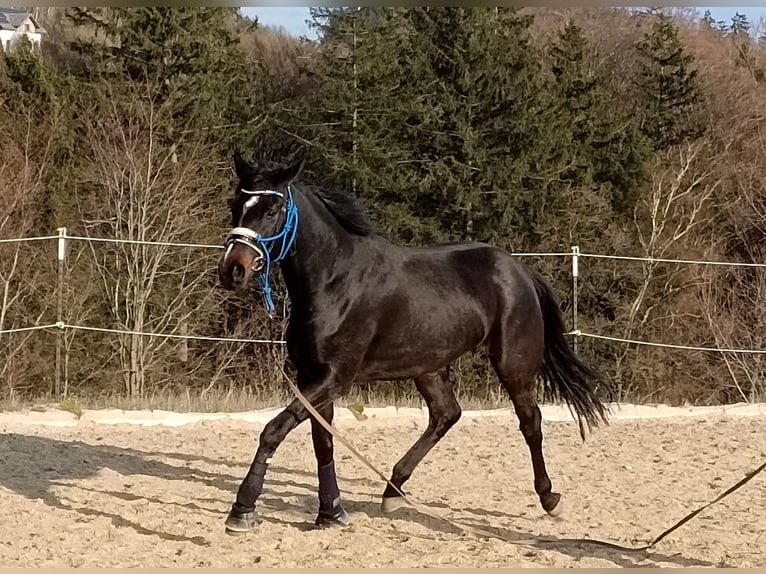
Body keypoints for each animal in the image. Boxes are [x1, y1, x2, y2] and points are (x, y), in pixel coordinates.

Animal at [218, 154, 612, 536]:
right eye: (235, 204)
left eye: (272, 210)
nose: (232, 270)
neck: (335, 279)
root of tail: (519, 270)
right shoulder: (311, 377)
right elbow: (322, 443)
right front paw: (331, 513)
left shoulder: (334, 377)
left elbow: (273, 431)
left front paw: (243, 510)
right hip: (429, 365)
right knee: (446, 414)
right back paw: (393, 491)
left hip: (513, 362)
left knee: (530, 421)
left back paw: (549, 498)